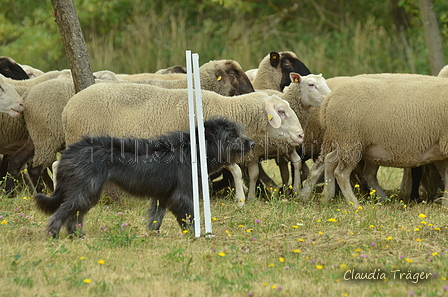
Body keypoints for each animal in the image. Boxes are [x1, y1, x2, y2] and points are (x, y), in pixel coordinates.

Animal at [33, 117, 254, 236]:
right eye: (231, 135)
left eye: (237, 131)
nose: (251, 143)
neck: (194, 149)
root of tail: (71, 151)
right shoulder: (182, 196)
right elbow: (188, 217)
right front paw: (195, 235)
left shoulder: (162, 197)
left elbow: (155, 219)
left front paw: (152, 236)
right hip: (85, 190)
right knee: (61, 214)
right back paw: (53, 235)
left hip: (86, 192)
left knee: (74, 215)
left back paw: (76, 236)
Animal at [60, 82, 304, 205]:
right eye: (281, 111)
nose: (301, 136)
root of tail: (67, 107)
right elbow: (234, 169)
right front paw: (241, 198)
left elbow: (233, 170)